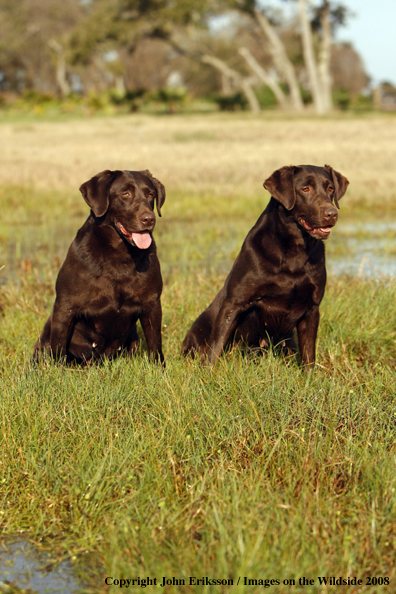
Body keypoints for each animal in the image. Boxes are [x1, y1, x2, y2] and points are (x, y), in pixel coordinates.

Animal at [32, 168, 166, 366]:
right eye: (125, 193)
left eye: (151, 194)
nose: (149, 219)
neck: (120, 254)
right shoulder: (65, 306)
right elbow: (58, 347)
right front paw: (56, 371)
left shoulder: (152, 303)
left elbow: (155, 345)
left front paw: (160, 369)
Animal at [181, 163, 348, 366]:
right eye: (305, 189)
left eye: (330, 188)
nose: (332, 214)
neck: (295, 250)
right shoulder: (235, 302)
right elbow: (216, 346)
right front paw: (208, 371)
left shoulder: (312, 307)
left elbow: (309, 354)